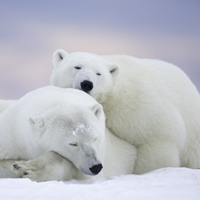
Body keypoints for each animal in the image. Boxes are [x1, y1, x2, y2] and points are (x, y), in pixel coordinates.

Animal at [0, 85, 136, 181]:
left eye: (95, 138)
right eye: (73, 144)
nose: (95, 166)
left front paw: (28, 168)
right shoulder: (12, 135)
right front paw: (20, 166)